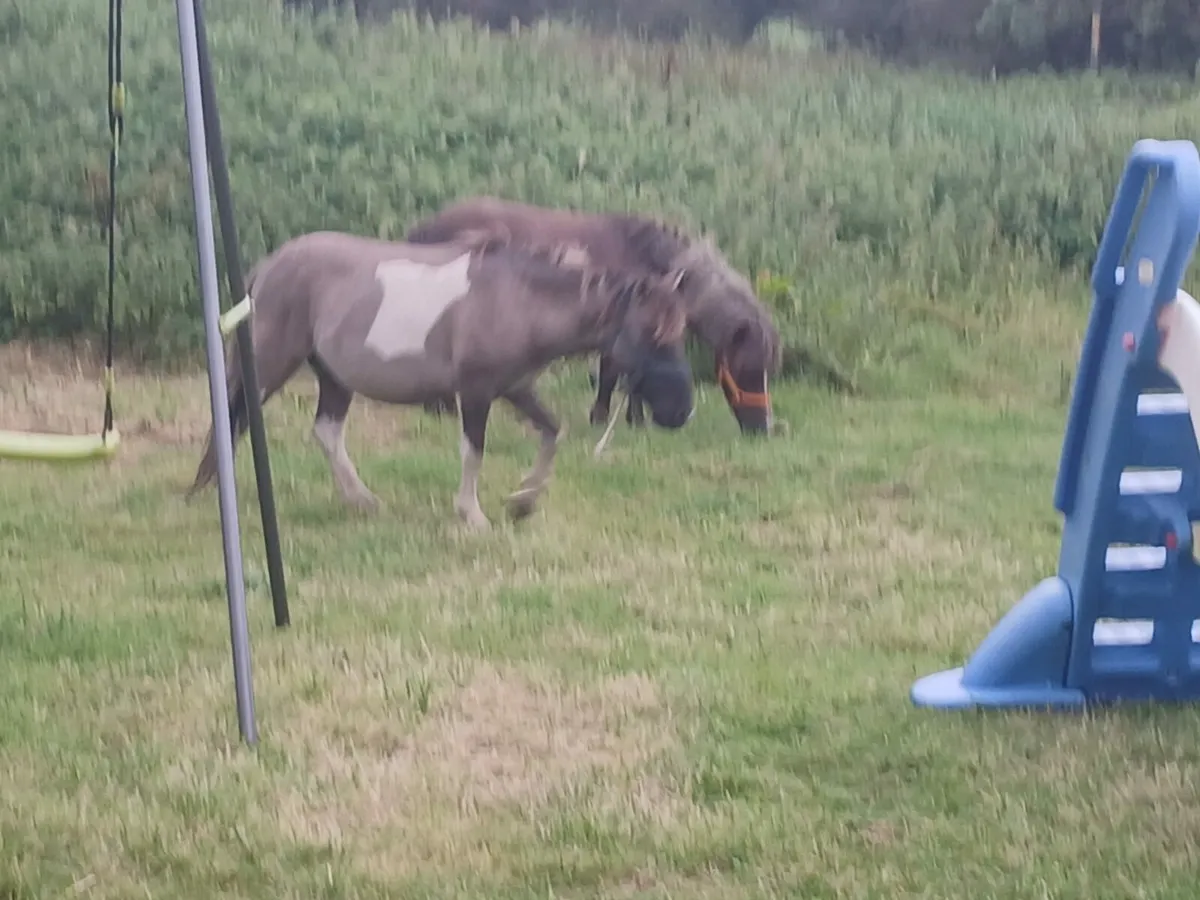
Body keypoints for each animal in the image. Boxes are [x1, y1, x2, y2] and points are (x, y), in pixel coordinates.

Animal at [186, 230, 695, 530]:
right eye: (652, 333)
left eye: (680, 332)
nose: (681, 409)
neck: (519, 299)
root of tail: (268, 266)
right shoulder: (475, 391)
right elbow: (474, 450)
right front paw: (473, 515)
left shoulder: (514, 388)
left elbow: (553, 432)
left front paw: (523, 501)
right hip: (271, 363)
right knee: (235, 416)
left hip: (332, 374)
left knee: (326, 432)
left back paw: (362, 502)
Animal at [404, 197, 782, 435]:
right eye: (747, 370)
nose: (763, 429)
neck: (650, 259)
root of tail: (421, 228)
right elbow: (614, 376)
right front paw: (606, 418)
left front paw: (631, 419)